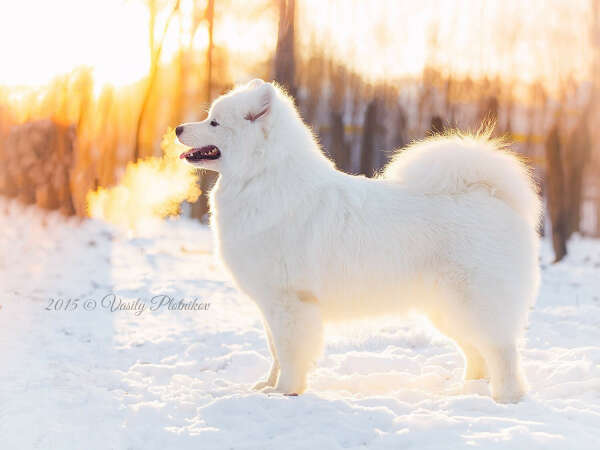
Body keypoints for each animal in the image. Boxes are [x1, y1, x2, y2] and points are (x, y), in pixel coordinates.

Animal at [176, 79, 540, 402]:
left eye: (213, 121)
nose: (178, 128)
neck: (262, 180)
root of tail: (491, 196)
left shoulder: (291, 301)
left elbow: (289, 352)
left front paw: (285, 391)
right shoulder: (269, 304)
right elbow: (275, 350)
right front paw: (268, 385)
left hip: (473, 302)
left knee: (502, 351)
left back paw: (506, 397)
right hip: (446, 308)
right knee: (476, 352)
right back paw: (467, 390)